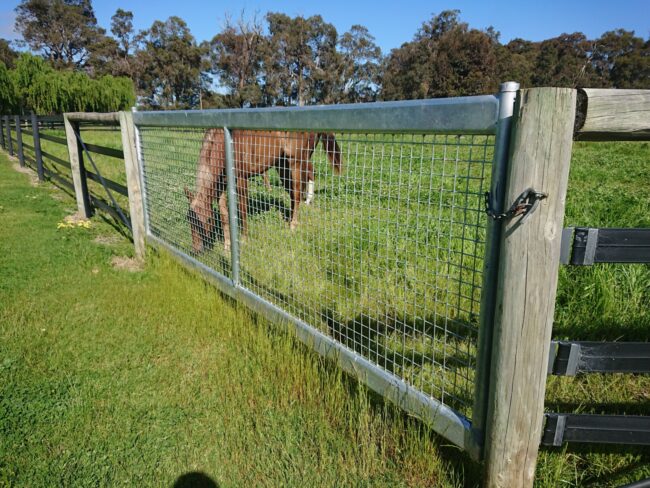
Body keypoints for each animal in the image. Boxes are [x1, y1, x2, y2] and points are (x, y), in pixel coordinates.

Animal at [184, 130, 342, 253]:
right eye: (189, 220)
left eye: (207, 220)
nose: (196, 250)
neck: (223, 145)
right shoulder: (220, 185)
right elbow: (224, 215)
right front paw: (227, 246)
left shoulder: (241, 179)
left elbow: (242, 210)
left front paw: (244, 239)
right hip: (282, 165)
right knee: (293, 192)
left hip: (296, 161)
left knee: (299, 191)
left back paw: (293, 225)